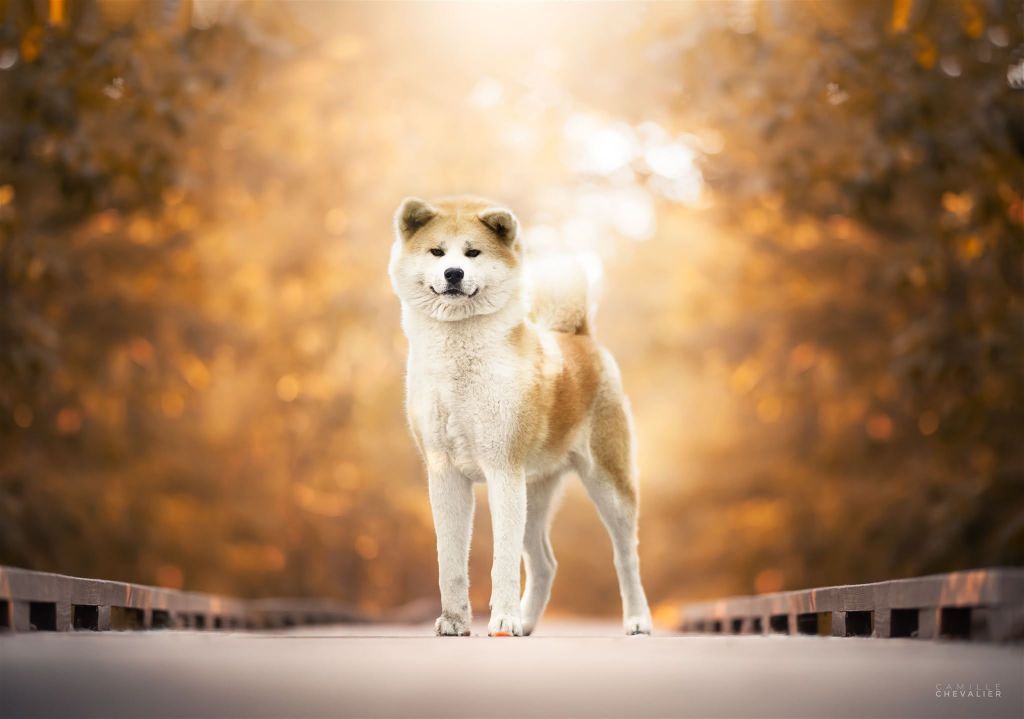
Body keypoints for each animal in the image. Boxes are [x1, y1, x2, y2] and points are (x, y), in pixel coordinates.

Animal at [387, 195, 651, 635]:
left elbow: (503, 562)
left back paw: (636, 620)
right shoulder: (445, 473)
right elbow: (450, 563)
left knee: (625, 557)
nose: (454, 273)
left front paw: (503, 617)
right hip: (533, 496)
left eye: (473, 253)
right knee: (546, 564)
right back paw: (527, 623)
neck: (460, 361)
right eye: (437, 252)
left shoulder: (501, 470)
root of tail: (579, 337)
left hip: (607, 486)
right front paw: (455, 621)